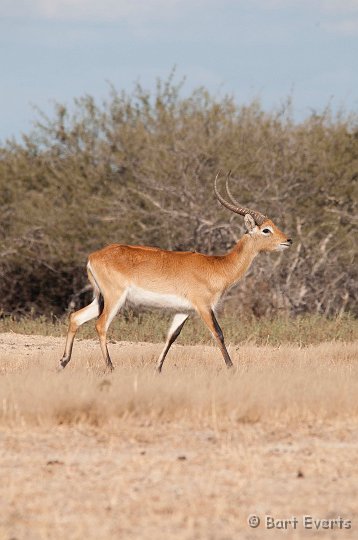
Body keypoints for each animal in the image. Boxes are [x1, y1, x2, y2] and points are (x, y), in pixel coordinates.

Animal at [58, 172, 292, 372]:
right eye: (266, 229)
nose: (288, 240)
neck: (217, 266)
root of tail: (93, 256)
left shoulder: (183, 310)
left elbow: (172, 336)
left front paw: (157, 368)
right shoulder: (203, 306)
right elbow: (218, 333)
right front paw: (231, 368)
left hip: (100, 298)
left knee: (76, 317)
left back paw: (63, 361)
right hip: (115, 298)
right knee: (100, 325)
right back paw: (109, 367)